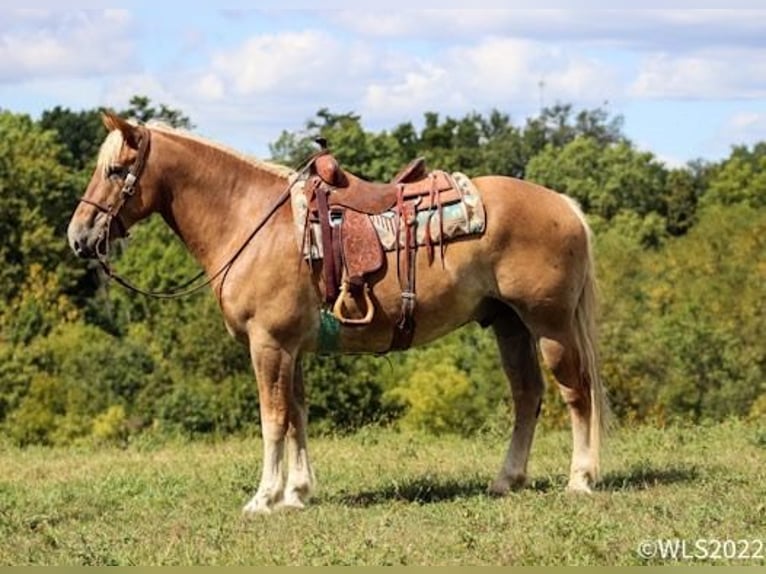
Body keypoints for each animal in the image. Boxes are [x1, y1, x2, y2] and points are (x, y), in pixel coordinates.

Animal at [67, 111, 608, 512]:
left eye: (114, 171)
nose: (79, 237)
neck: (252, 222)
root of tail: (564, 204)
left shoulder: (269, 345)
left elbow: (273, 418)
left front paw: (263, 498)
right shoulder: (291, 348)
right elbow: (297, 415)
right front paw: (296, 493)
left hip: (550, 324)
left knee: (575, 393)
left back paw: (580, 479)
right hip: (508, 324)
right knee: (527, 396)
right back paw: (506, 480)